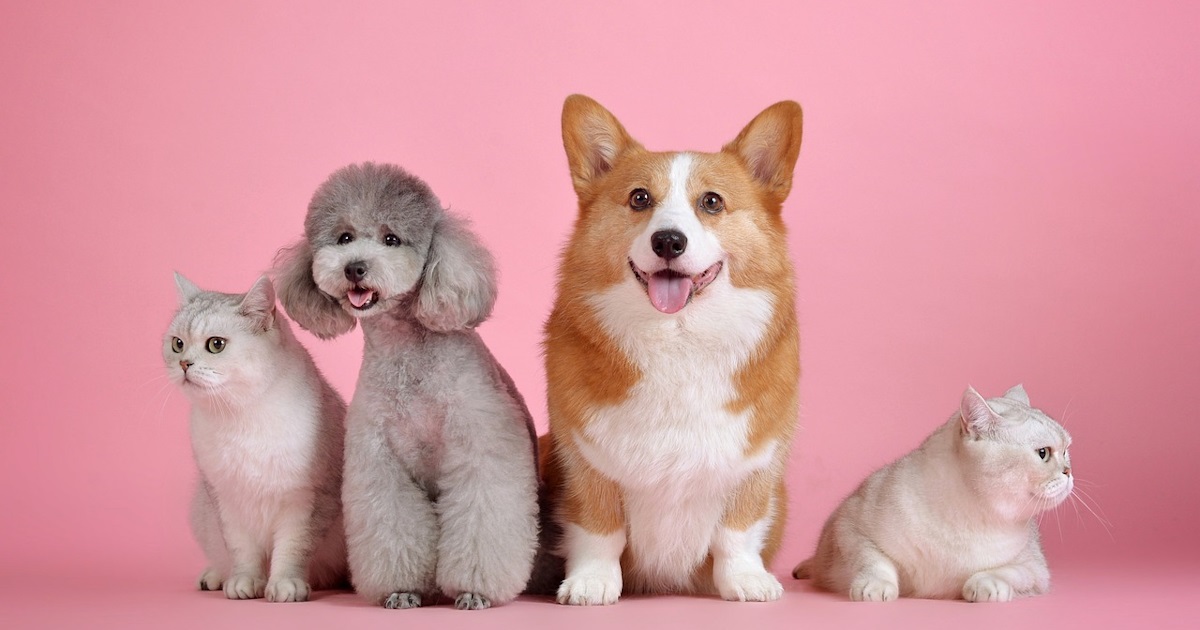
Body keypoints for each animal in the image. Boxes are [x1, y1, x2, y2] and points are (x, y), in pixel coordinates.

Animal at [544, 94, 806, 604]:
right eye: (639, 198)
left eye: (712, 202)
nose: (668, 240)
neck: (678, 339)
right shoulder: (583, 460)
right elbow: (599, 528)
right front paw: (591, 583)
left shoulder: (758, 461)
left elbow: (737, 530)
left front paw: (745, 580)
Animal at [796, 386, 1070, 602]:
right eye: (1043, 453)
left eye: (1067, 450)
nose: (1069, 471)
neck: (969, 516)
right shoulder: (850, 526)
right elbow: (873, 560)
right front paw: (875, 587)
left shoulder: (1035, 569)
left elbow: (1007, 571)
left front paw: (985, 585)